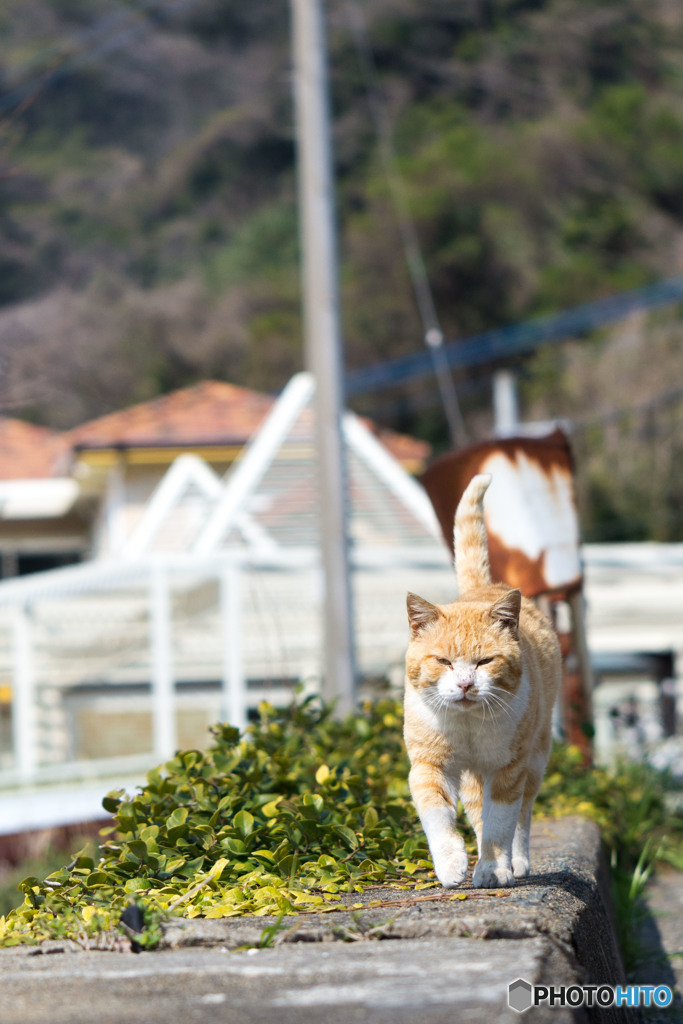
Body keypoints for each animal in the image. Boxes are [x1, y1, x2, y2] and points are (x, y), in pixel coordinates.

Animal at [403, 475, 557, 884]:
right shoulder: (428, 765)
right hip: (474, 777)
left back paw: (516, 863)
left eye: (485, 661)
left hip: (535, 759)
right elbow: (438, 817)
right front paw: (451, 865)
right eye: (443, 661)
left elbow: (501, 825)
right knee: (475, 811)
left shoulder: (508, 770)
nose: (465, 685)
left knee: (521, 816)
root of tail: (482, 588)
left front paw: (493, 869)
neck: (468, 724)